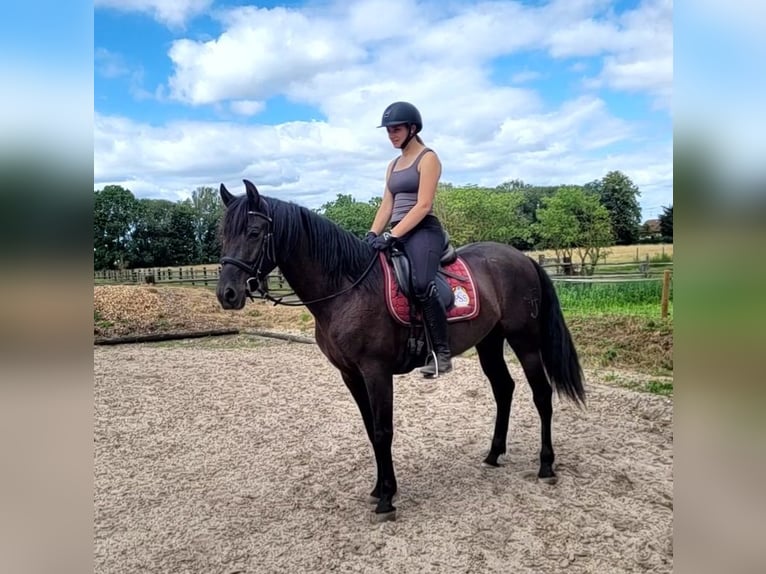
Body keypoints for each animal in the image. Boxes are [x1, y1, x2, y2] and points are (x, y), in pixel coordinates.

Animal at [216, 179, 586, 522]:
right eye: (222, 234)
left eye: (253, 232)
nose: (227, 294)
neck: (347, 288)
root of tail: (523, 259)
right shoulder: (350, 374)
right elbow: (370, 430)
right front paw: (379, 488)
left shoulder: (376, 371)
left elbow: (383, 431)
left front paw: (386, 499)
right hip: (490, 341)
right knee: (504, 389)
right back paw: (494, 454)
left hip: (525, 341)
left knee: (541, 394)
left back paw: (546, 465)